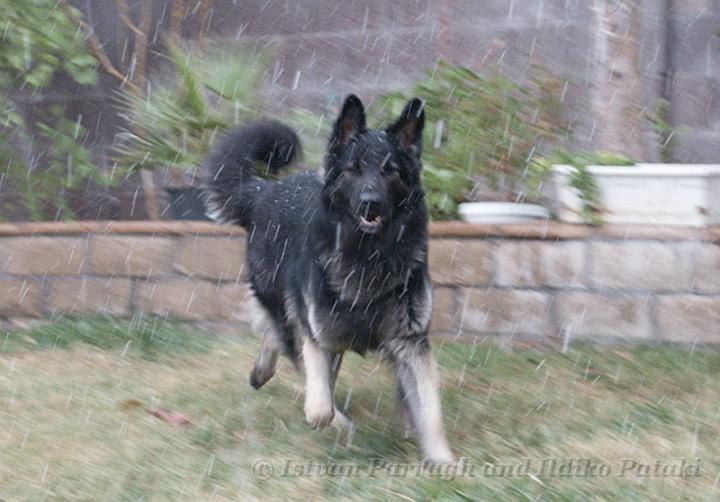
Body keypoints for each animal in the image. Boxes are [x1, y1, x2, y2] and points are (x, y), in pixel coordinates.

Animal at [202, 94, 452, 462]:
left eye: (390, 170)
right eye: (355, 169)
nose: (370, 203)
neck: (369, 256)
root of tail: (264, 191)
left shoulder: (410, 343)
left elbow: (430, 411)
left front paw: (443, 461)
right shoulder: (320, 338)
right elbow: (320, 407)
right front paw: (342, 427)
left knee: (277, 335)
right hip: (287, 305)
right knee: (283, 333)